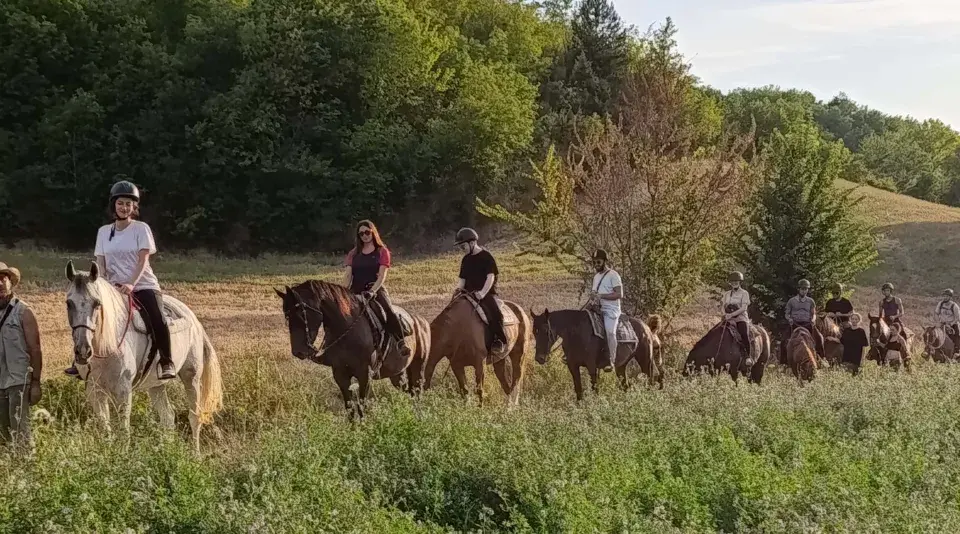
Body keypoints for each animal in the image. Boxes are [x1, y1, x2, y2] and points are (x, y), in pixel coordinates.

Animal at [64, 261, 223, 452]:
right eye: (69, 303)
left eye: (97, 303)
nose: (83, 351)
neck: (106, 345)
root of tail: (194, 319)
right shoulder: (94, 391)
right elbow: (105, 429)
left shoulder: (123, 391)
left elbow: (123, 431)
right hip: (156, 384)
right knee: (168, 417)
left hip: (191, 376)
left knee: (194, 417)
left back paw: (195, 454)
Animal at [275, 280, 430, 420]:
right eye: (287, 316)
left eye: (302, 314)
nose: (298, 352)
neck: (347, 331)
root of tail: (421, 321)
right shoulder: (340, 375)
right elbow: (349, 407)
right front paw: (353, 429)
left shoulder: (365, 375)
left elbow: (362, 405)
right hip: (397, 375)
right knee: (409, 391)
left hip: (419, 367)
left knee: (417, 392)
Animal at [530, 309, 662, 400]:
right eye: (534, 332)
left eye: (545, 330)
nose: (539, 358)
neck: (576, 333)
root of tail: (646, 327)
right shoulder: (573, 366)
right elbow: (578, 390)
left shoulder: (592, 367)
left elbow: (595, 389)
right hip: (621, 366)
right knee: (625, 385)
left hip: (646, 362)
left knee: (650, 381)